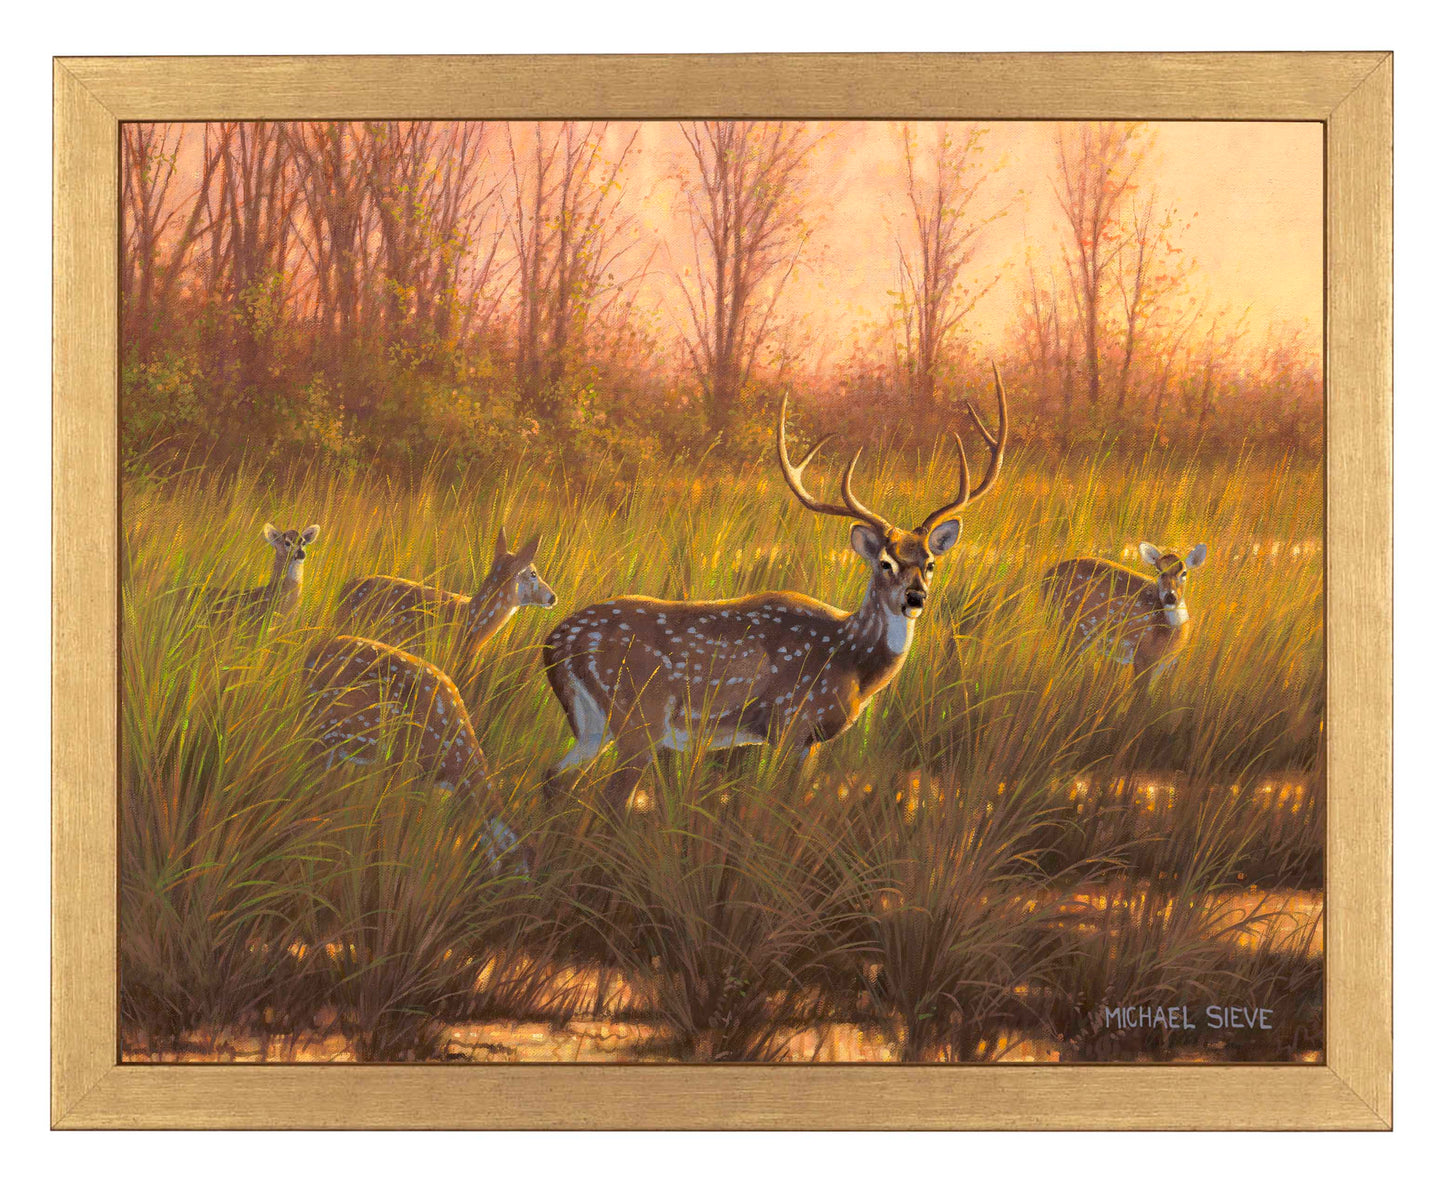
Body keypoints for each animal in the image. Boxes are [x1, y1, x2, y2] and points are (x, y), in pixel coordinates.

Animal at [540, 366, 1009, 813]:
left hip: (593, 725)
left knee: (552, 778)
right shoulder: (791, 721)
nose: (915, 598)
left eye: (930, 563)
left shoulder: (808, 741)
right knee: (607, 798)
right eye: (885, 563)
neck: (852, 660)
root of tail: (555, 641)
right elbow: (775, 805)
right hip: (640, 718)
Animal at [1041, 542, 1207, 687]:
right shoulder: (1143, 658)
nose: (1170, 596)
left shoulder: (1161, 666)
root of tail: (1046, 575)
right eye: (1159, 572)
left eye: (1184, 572)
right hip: (1072, 627)